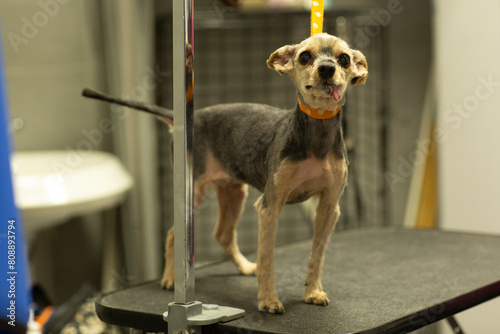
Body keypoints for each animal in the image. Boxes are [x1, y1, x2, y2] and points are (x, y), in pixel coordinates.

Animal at [83, 31, 368, 314]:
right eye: (305, 56)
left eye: (344, 59)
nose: (327, 68)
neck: (316, 132)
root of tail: (188, 119)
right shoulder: (270, 206)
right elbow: (267, 258)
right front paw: (268, 300)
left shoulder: (329, 207)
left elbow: (317, 255)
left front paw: (313, 292)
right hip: (193, 192)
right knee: (174, 234)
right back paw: (171, 278)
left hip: (234, 192)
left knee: (223, 234)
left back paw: (245, 267)